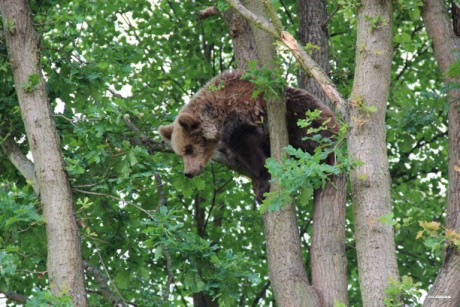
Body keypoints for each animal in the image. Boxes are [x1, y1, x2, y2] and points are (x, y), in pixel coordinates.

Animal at [158, 71, 338, 203]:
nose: (188, 172)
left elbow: (251, 151)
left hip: (302, 114)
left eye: (189, 149)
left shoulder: (241, 117)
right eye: (181, 153)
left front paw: (263, 185)